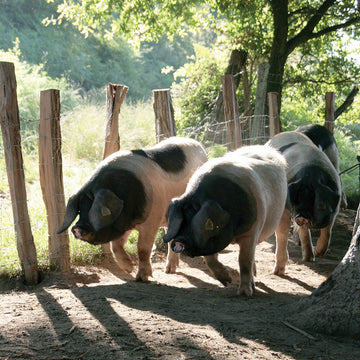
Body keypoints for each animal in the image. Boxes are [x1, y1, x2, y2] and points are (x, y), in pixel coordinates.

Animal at [57, 136, 207, 280]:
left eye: (97, 210)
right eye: (80, 209)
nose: (77, 228)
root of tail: (197, 145)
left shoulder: (152, 219)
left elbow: (142, 248)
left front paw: (141, 278)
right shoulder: (125, 223)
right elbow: (115, 246)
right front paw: (129, 268)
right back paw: (169, 271)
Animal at [163, 145, 286, 296]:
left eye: (205, 224)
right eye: (183, 219)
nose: (179, 241)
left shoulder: (251, 232)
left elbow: (244, 260)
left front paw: (244, 293)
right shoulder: (208, 242)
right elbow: (210, 259)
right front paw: (227, 281)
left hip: (284, 210)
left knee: (280, 235)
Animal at [268, 131, 340, 272]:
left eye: (313, 198)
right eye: (296, 198)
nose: (301, 216)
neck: (309, 175)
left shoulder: (336, 201)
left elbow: (328, 230)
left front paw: (319, 253)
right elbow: (282, 234)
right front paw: (278, 271)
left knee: (304, 231)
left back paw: (310, 258)